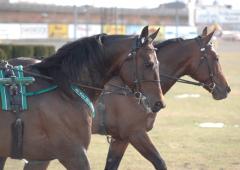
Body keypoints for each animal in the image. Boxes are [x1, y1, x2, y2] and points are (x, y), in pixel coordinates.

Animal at [0, 26, 230, 170]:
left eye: (156, 62)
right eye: (216, 58)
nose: (226, 89)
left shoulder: (120, 139)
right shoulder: (135, 133)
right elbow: (159, 162)